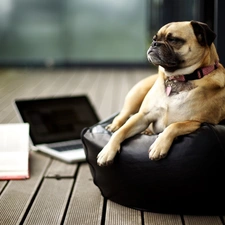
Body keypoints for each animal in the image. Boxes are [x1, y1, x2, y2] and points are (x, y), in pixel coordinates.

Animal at [97, 20, 225, 166]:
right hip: (135, 97)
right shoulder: (142, 116)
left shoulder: (196, 122)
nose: (154, 44)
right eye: (154, 39)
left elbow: (173, 126)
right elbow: (121, 132)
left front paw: (158, 146)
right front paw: (107, 151)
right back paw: (114, 126)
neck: (177, 78)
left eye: (173, 40)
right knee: (122, 116)